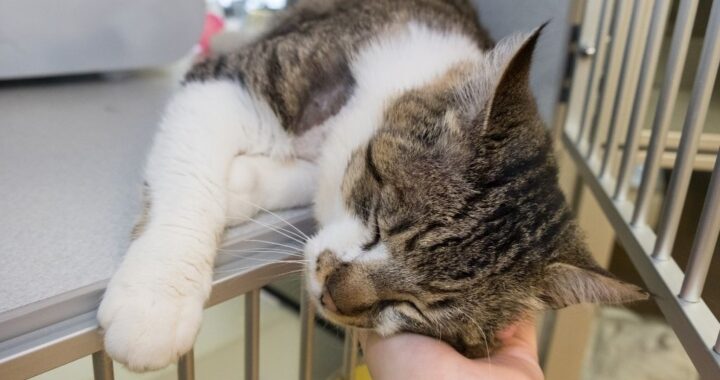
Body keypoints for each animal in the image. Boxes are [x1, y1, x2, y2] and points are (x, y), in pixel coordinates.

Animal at [97, 0, 648, 370]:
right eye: (380, 220)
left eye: (420, 307)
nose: (333, 294)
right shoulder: (237, 81)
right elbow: (192, 171)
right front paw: (155, 303)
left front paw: (241, 186)